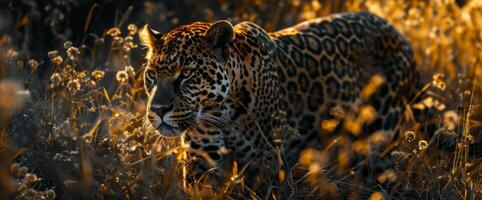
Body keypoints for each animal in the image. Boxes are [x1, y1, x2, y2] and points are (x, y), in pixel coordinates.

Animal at [138, 10, 418, 183]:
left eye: (186, 74)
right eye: (151, 75)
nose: (158, 110)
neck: (223, 113)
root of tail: (399, 33)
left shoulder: (268, 166)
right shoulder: (203, 161)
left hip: (380, 142)